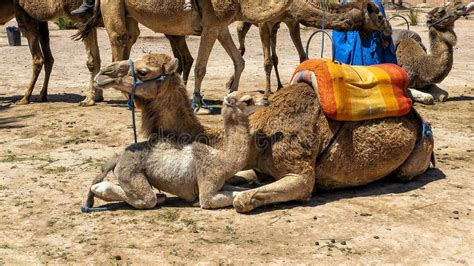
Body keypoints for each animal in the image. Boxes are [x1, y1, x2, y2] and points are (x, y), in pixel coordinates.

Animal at [76, 0, 294, 110]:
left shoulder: (220, 26)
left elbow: (239, 61)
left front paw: (232, 94)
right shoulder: (211, 24)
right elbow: (200, 68)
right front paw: (196, 102)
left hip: (128, 13)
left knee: (127, 40)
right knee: (119, 40)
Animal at [84, 53, 268, 210]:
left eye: (142, 71)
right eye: (248, 100)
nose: (104, 73)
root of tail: (118, 157)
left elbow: (241, 188)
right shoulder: (208, 189)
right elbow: (229, 194)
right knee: (146, 199)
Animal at [235, 0, 394, 94]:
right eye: (380, 17)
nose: (389, 28)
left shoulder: (291, 21)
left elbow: (302, 56)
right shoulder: (263, 23)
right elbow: (266, 62)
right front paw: (267, 93)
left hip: (275, 27)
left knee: (274, 55)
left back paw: (279, 85)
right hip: (246, 21)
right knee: (241, 43)